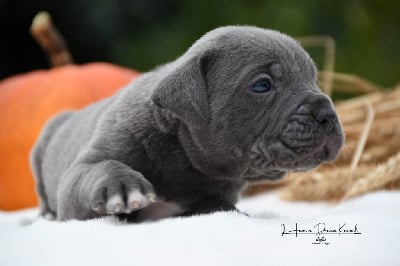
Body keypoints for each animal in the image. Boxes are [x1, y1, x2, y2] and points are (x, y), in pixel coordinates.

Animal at [31, 26, 344, 222]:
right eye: (262, 85)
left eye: (314, 80)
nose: (327, 112)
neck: (179, 156)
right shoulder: (85, 171)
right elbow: (98, 168)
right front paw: (121, 185)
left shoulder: (215, 195)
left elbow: (218, 207)